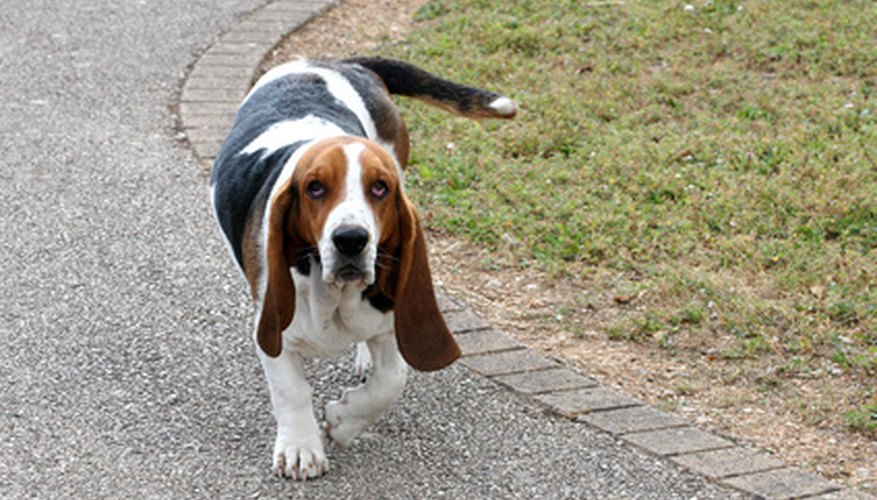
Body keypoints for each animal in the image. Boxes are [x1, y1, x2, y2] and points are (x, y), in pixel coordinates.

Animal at [210, 56, 516, 478]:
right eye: (315, 188)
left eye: (380, 187)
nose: (351, 239)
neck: (335, 295)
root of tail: (335, 61)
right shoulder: (273, 327)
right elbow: (291, 390)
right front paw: (301, 449)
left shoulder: (389, 325)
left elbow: (391, 381)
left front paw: (344, 420)